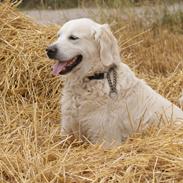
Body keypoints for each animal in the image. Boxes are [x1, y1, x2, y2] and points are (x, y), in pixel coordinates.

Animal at [46, 18, 183, 147]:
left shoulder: (106, 141)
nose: (48, 50)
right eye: (58, 36)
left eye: (73, 37)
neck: (93, 78)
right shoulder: (67, 131)